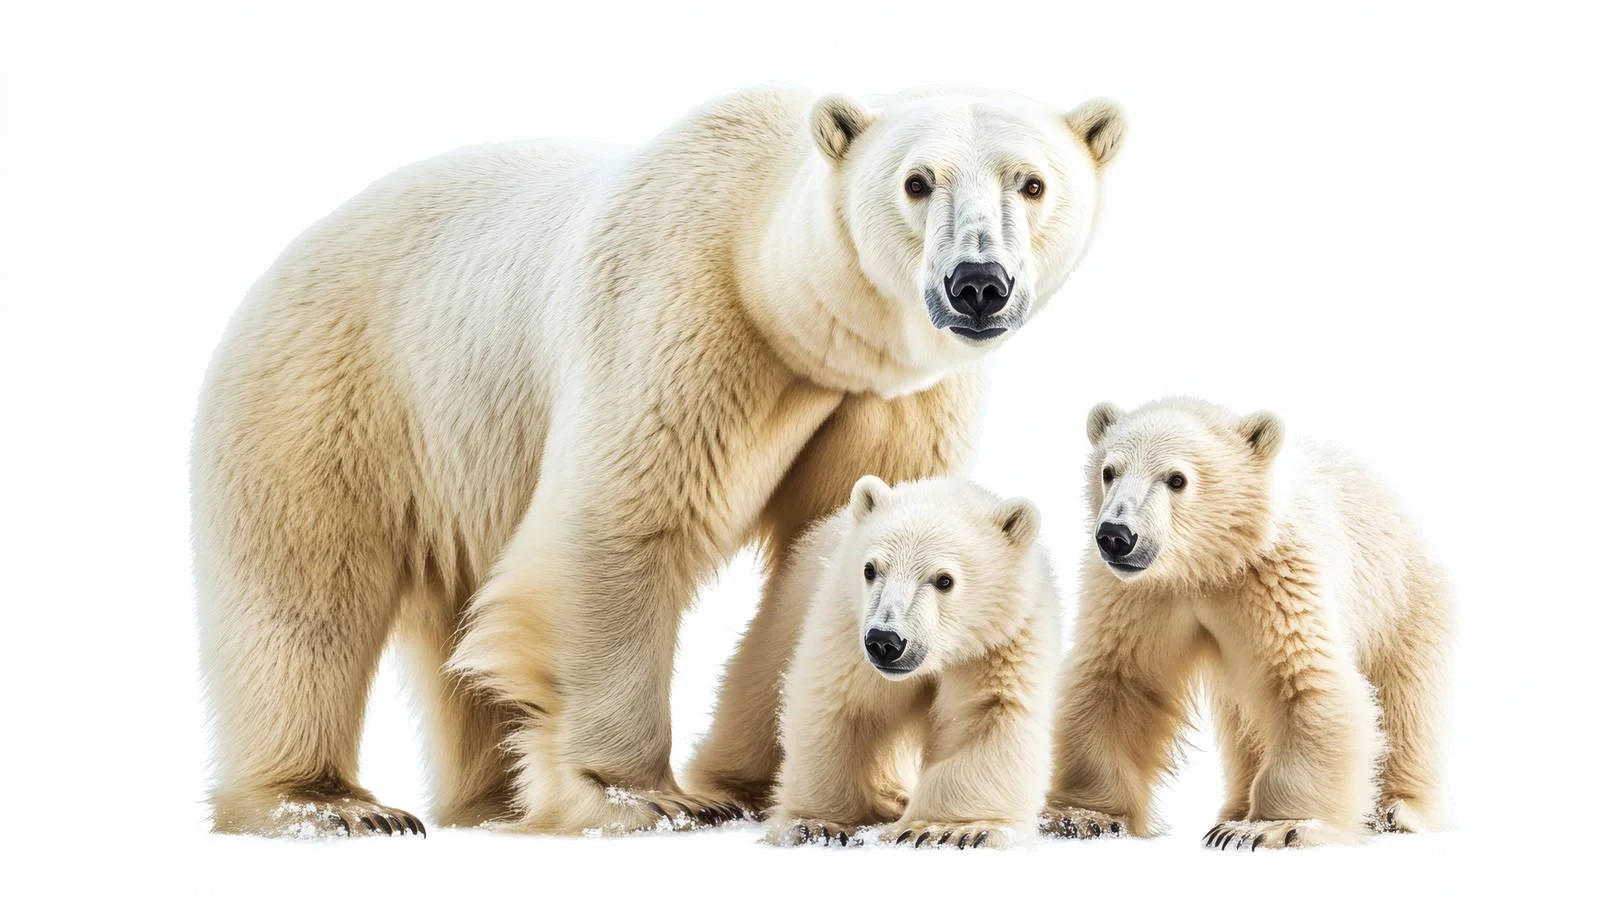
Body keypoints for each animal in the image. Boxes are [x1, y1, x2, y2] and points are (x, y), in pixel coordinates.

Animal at [766, 476, 1059, 849]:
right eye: (871, 569)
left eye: (944, 580)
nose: (885, 641)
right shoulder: (847, 628)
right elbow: (839, 707)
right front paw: (816, 824)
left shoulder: (999, 644)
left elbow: (989, 717)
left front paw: (951, 829)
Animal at [1041, 398, 1452, 849]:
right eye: (1109, 471)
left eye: (1177, 479)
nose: (1116, 535)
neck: (1208, 563)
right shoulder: (1142, 596)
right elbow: (1120, 682)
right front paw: (1082, 817)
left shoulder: (1276, 576)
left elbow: (1302, 678)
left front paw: (1272, 827)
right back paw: (1234, 807)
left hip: (1400, 601)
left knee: (1403, 701)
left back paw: (1397, 810)